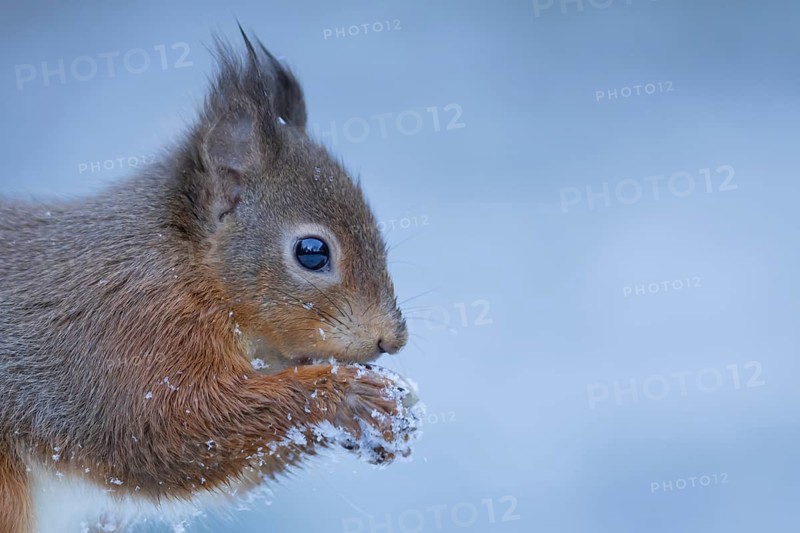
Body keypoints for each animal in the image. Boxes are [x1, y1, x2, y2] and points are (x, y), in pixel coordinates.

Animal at [0, 30, 422, 533]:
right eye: (312, 252)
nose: (391, 340)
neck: (189, 269)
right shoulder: (120, 333)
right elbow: (166, 432)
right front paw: (349, 397)